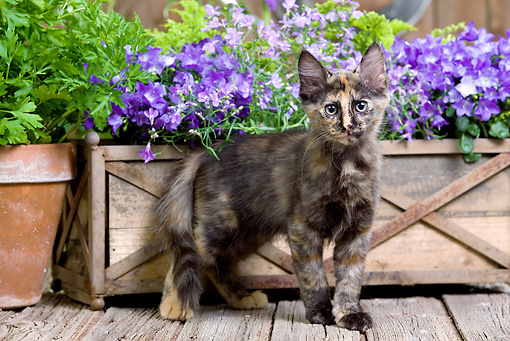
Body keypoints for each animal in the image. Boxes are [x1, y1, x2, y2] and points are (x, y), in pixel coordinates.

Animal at [157, 41, 388, 330]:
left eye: (361, 105)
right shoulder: (302, 227)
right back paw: (173, 304)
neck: (347, 164)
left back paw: (240, 298)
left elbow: (350, 279)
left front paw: (348, 314)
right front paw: (320, 312)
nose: (347, 126)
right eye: (331, 109)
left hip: (248, 233)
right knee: (185, 254)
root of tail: (208, 152)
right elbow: (313, 276)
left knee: (217, 264)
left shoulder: (357, 230)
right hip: (219, 225)